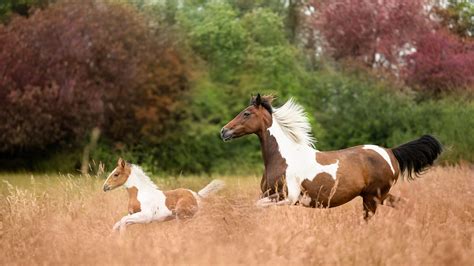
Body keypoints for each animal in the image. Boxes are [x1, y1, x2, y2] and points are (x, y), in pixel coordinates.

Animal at [220, 94, 442, 219]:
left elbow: (256, 207)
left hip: (372, 197)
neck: (282, 157)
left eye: (246, 113)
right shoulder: (267, 194)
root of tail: (390, 152)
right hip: (379, 195)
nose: (223, 131)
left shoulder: (287, 197)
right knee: (402, 204)